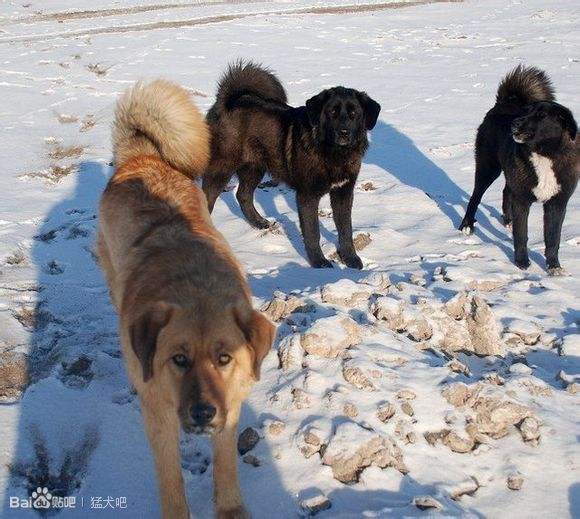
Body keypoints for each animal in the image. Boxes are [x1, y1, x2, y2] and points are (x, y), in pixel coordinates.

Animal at [97, 79, 274, 516]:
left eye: (224, 358)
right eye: (178, 359)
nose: (202, 413)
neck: (194, 285)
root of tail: (142, 156)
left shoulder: (231, 404)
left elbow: (226, 462)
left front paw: (231, 508)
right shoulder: (160, 415)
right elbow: (170, 478)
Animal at [202, 62, 382, 268]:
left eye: (354, 114)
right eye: (332, 113)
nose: (343, 133)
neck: (332, 152)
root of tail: (225, 101)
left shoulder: (343, 192)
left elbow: (346, 229)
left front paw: (351, 258)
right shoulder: (307, 195)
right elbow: (312, 232)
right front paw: (319, 262)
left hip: (255, 166)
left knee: (243, 195)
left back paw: (259, 222)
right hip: (222, 167)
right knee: (208, 197)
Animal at [460, 66, 576, 276]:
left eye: (541, 116)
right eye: (527, 112)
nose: (514, 123)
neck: (544, 153)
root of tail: (503, 103)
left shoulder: (557, 204)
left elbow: (553, 239)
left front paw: (553, 266)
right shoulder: (522, 200)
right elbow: (521, 235)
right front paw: (522, 262)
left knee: (506, 190)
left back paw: (507, 219)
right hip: (488, 167)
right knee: (475, 196)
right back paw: (467, 225)